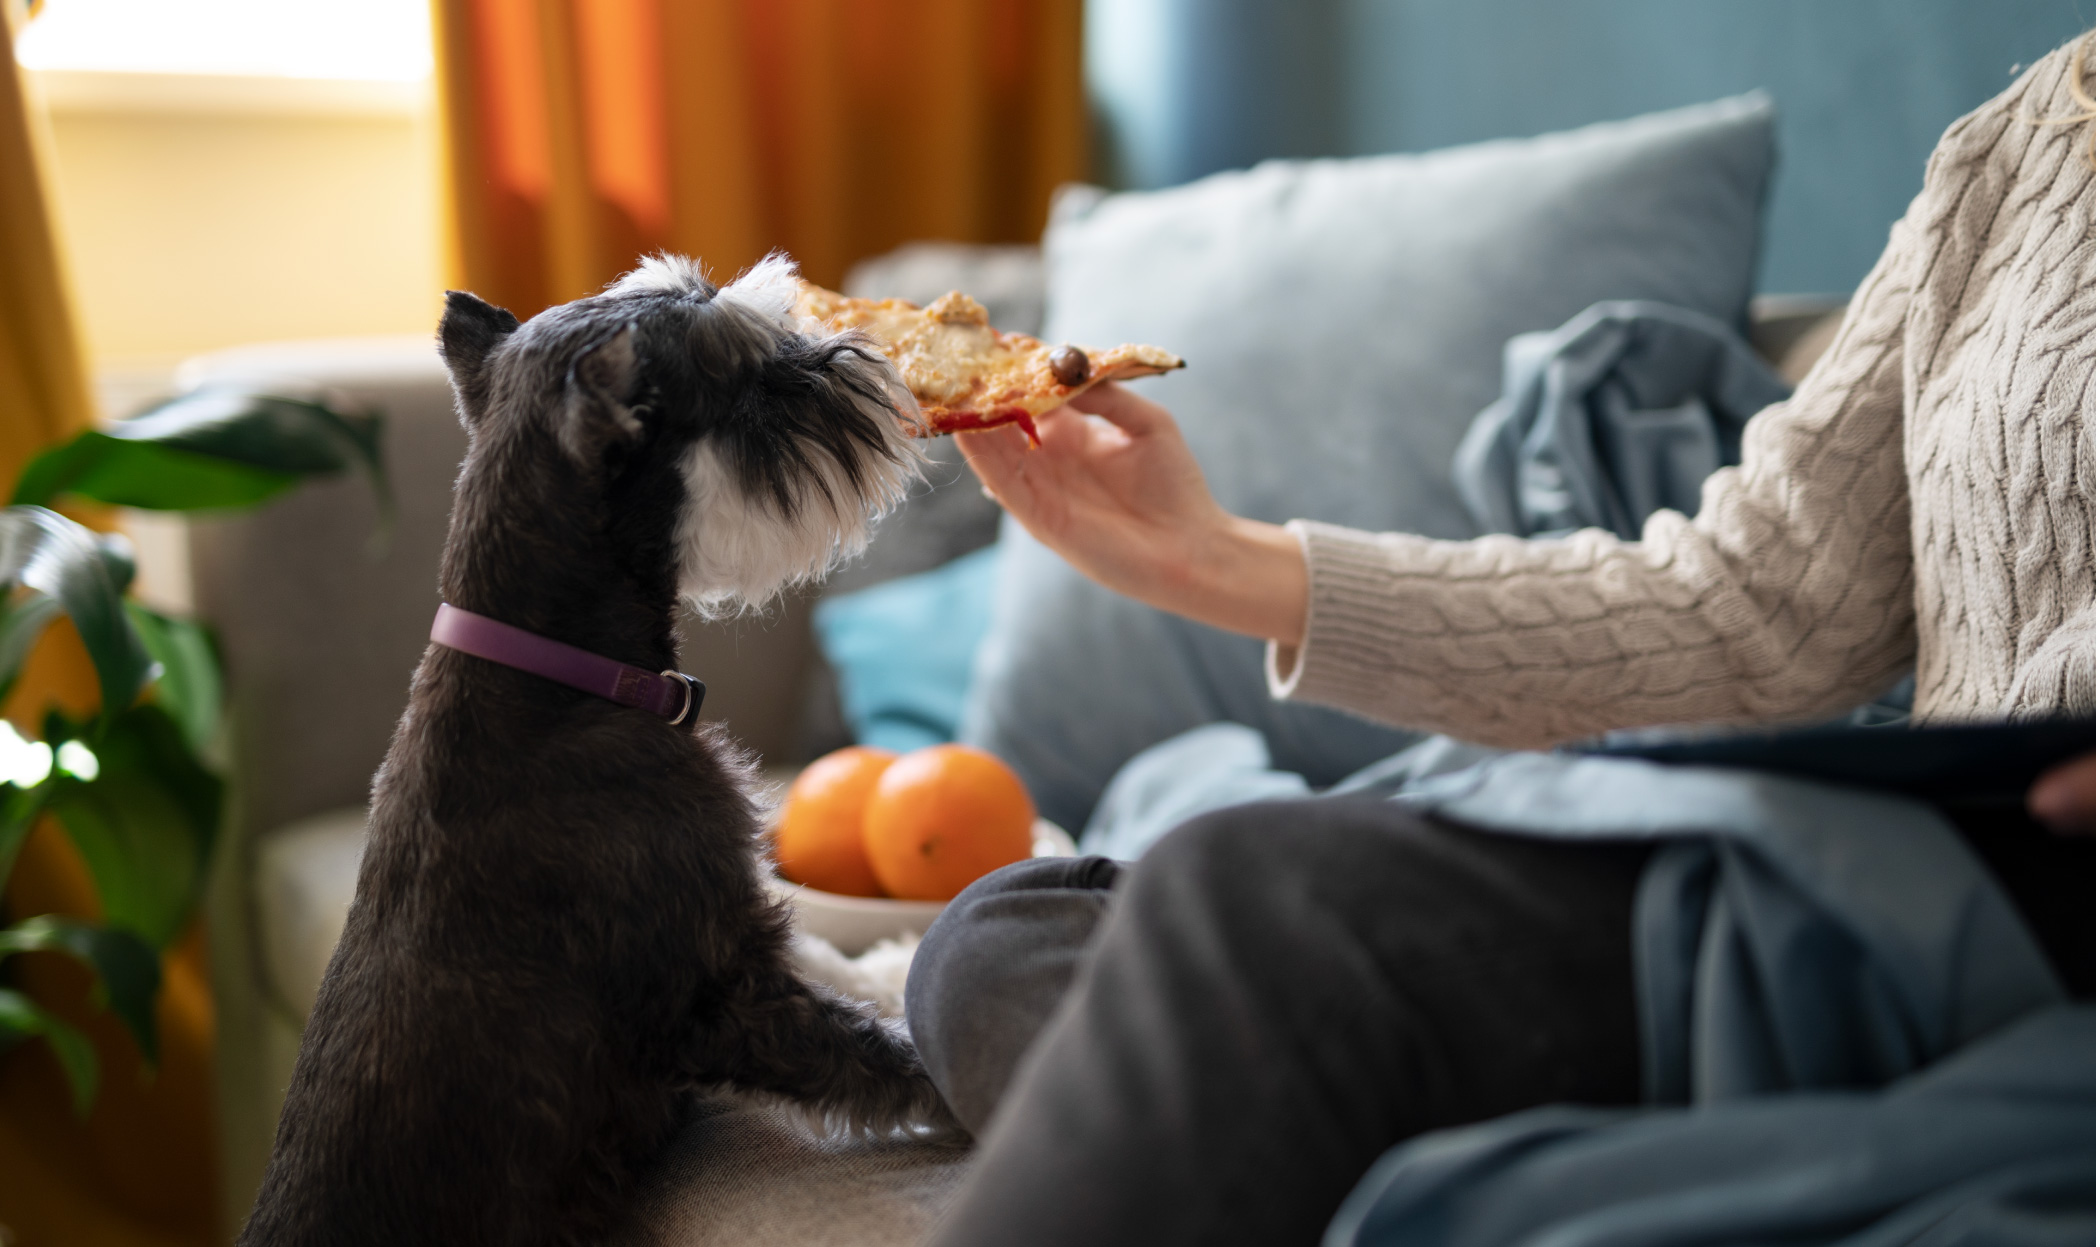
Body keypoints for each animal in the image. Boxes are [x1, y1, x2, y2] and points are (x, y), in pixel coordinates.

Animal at [236, 251, 953, 1242]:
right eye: (740, 378)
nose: (862, 360)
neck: (558, 678)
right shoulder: (720, 992)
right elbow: (880, 1055)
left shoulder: (735, 922)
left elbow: (833, 965)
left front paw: (890, 967)